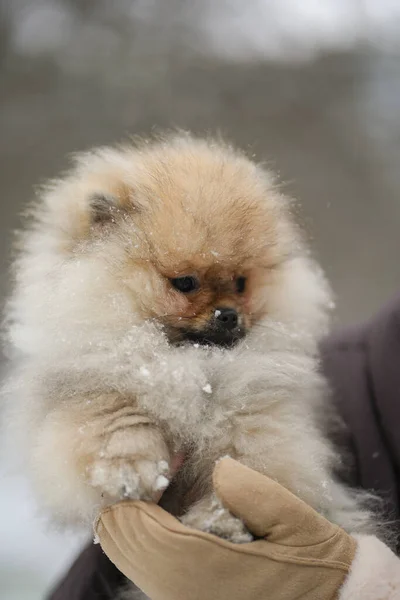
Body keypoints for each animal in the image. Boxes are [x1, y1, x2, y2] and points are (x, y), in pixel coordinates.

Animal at [3, 134, 374, 560]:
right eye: (185, 283)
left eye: (241, 283)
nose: (229, 315)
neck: (194, 366)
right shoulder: (90, 384)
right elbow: (114, 419)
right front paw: (129, 468)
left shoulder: (255, 425)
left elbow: (244, 472)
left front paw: (223, 520)